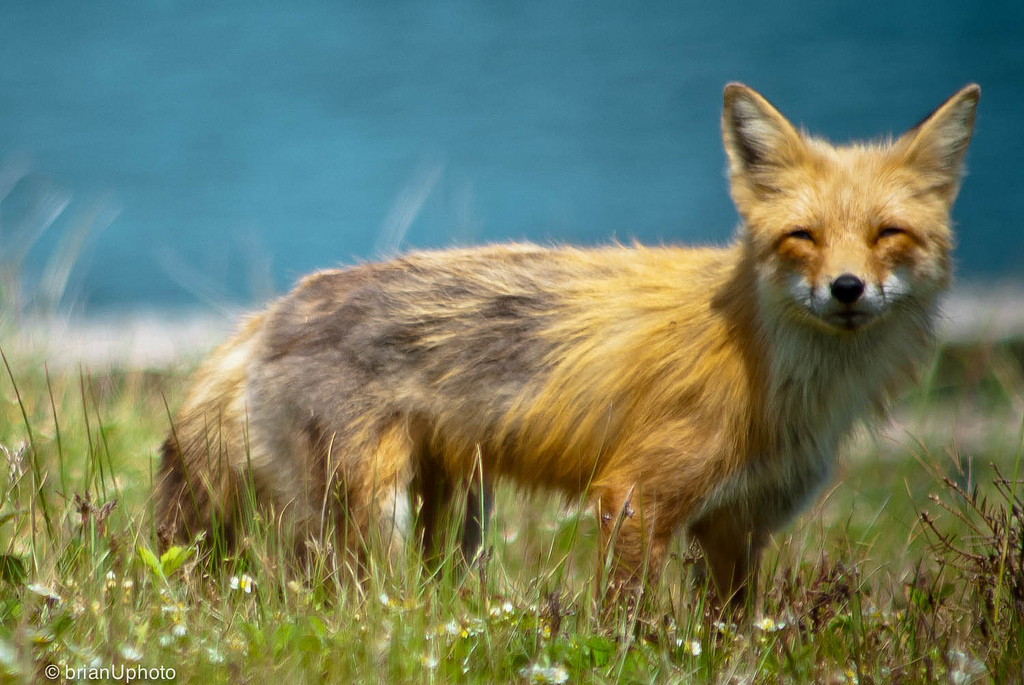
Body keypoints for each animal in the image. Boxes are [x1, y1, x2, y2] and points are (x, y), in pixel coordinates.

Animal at [156, 82, 979, 605]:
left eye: (889, 235)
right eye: (802, 237)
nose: (847, 289)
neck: (768, 366)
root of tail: (276, 307)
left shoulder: (738, 528)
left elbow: (728, 637)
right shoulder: (636, 498)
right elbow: (628, 624)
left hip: (457, 514)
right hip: (370, 516)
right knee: (340, 607)